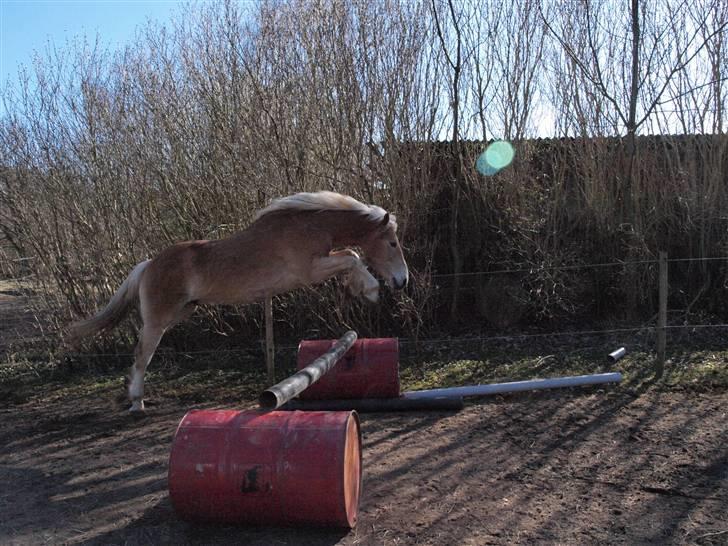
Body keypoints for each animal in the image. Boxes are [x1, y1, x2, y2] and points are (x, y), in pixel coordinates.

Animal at [67, 191, 410, 408]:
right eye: (392, 243)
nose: (402, 281)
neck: (308, 225)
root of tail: (149, 264)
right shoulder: (309, 271)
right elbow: (352, 256)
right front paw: (370, 289)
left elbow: (350, 256)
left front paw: (358, 288)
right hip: (158, 320)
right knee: (142, 355)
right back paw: (136, 402)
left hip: (181, 312)